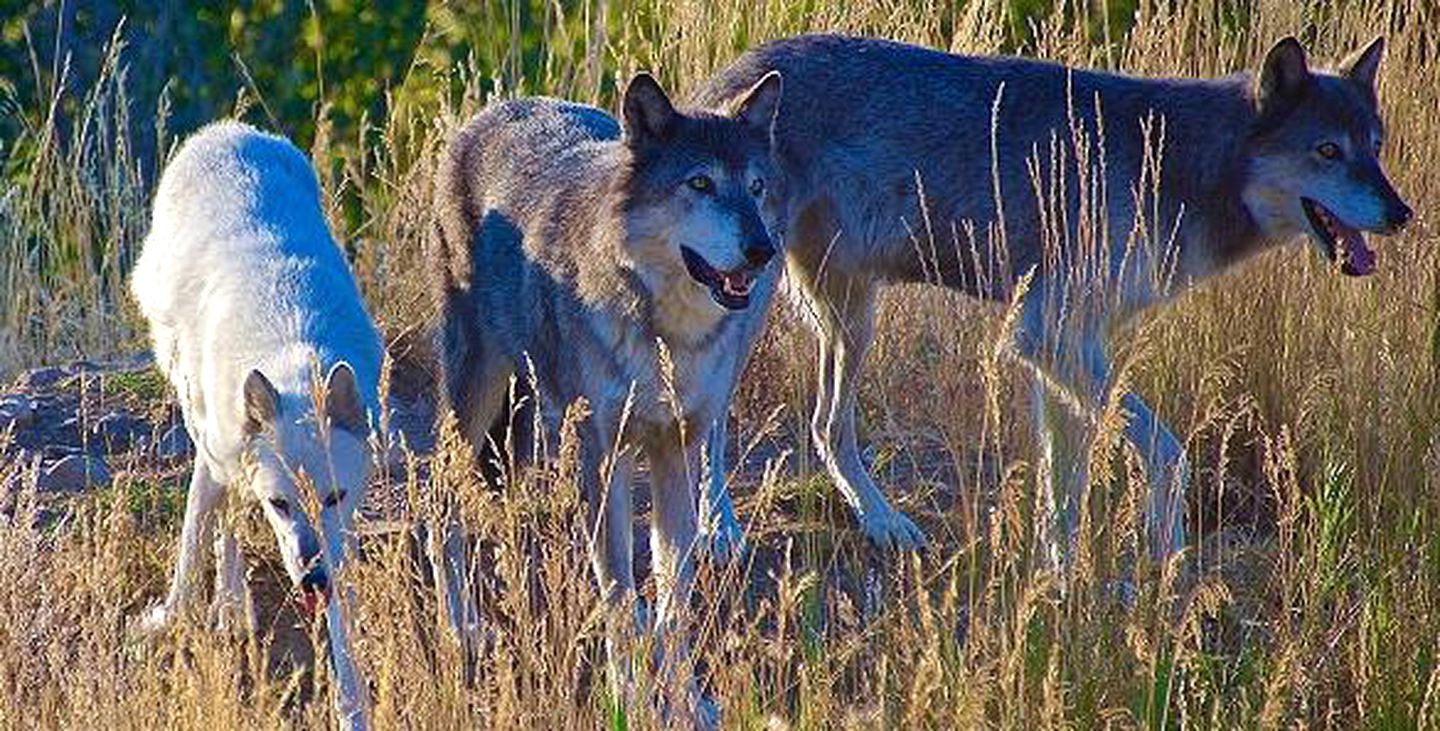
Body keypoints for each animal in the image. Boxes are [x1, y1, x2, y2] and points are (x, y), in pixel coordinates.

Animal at [132, 121, 380, 731]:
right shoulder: (219, 459)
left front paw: (351, 709)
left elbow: (342, 627)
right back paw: (228, 605)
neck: (293, 351)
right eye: (282, 505)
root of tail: (228, 131)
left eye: (334, 497)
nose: (311, 581)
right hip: (199, 413)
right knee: (222, 517)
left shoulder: (338, 534)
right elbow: (199, 535)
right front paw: (178, 615)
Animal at [429, 71, 783, 728]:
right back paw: (462, 627)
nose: (762, 250)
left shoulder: (678, 449)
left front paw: (687, 700)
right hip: (476, 392)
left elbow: (674, 597)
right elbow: (617, 588)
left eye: (755, 188)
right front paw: (631, 700)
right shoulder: (603, 453)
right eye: (700, 184)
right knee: (441, 504)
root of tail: (495, 110)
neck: (666, 333)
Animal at [691, 34, 1411, 558]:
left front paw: (1058, 582)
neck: (1175, 164)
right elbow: (1168, 454)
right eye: (1328, 150)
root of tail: (726, 82)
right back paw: (719, 531)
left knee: (824, 426)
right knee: (710, 425)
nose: (1402, 213)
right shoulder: (1046, 337)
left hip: (853, 318)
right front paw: (1164, 561)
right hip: (751, 312)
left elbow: (1062, 490)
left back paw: (882, 522)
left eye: (1375, 148)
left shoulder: (1062, 349)